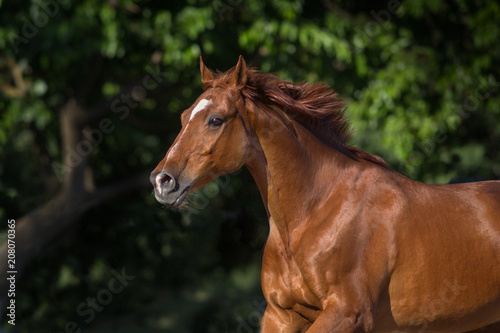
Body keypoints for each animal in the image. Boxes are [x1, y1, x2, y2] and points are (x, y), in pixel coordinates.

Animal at [151, 55, 500, 330]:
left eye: (215, 119)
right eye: (184, 117)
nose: (162, 181)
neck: (312, 216)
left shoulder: (347, 313)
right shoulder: (281, 315)